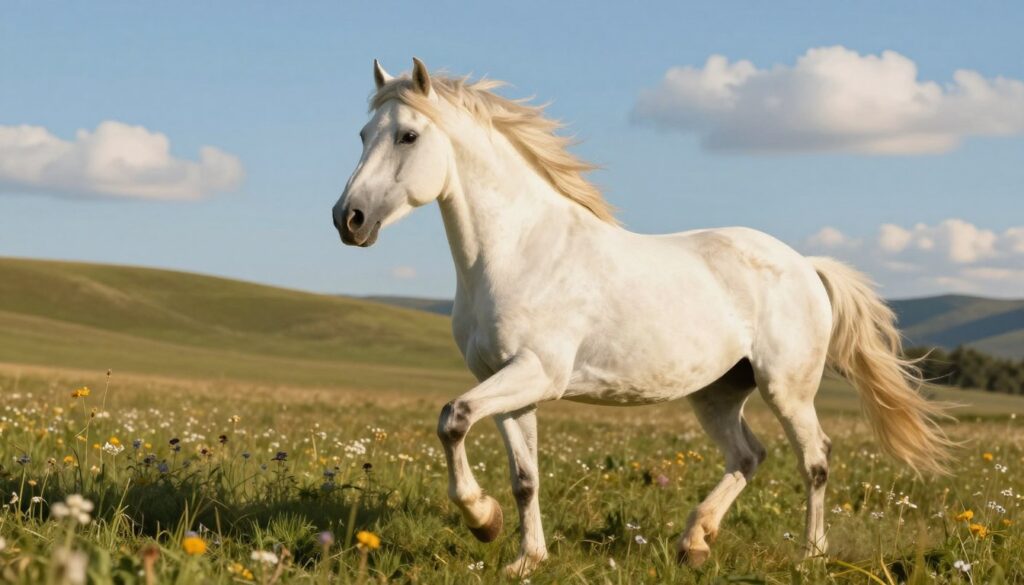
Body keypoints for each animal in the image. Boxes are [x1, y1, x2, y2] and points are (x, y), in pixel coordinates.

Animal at [331, 58, 955, 577]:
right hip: (718, 392)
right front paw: (522, 556)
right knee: (748, 455)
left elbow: (452, 418)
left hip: (787, 387)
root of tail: (805, 264)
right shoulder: (508, 384)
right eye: (362, 135)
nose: (348, 219)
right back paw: (695, 542)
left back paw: (810, 554)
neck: (518, 251)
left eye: (408, 135)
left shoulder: (537, 373)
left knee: (815, 459)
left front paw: (482, 521)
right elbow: (524, 478)